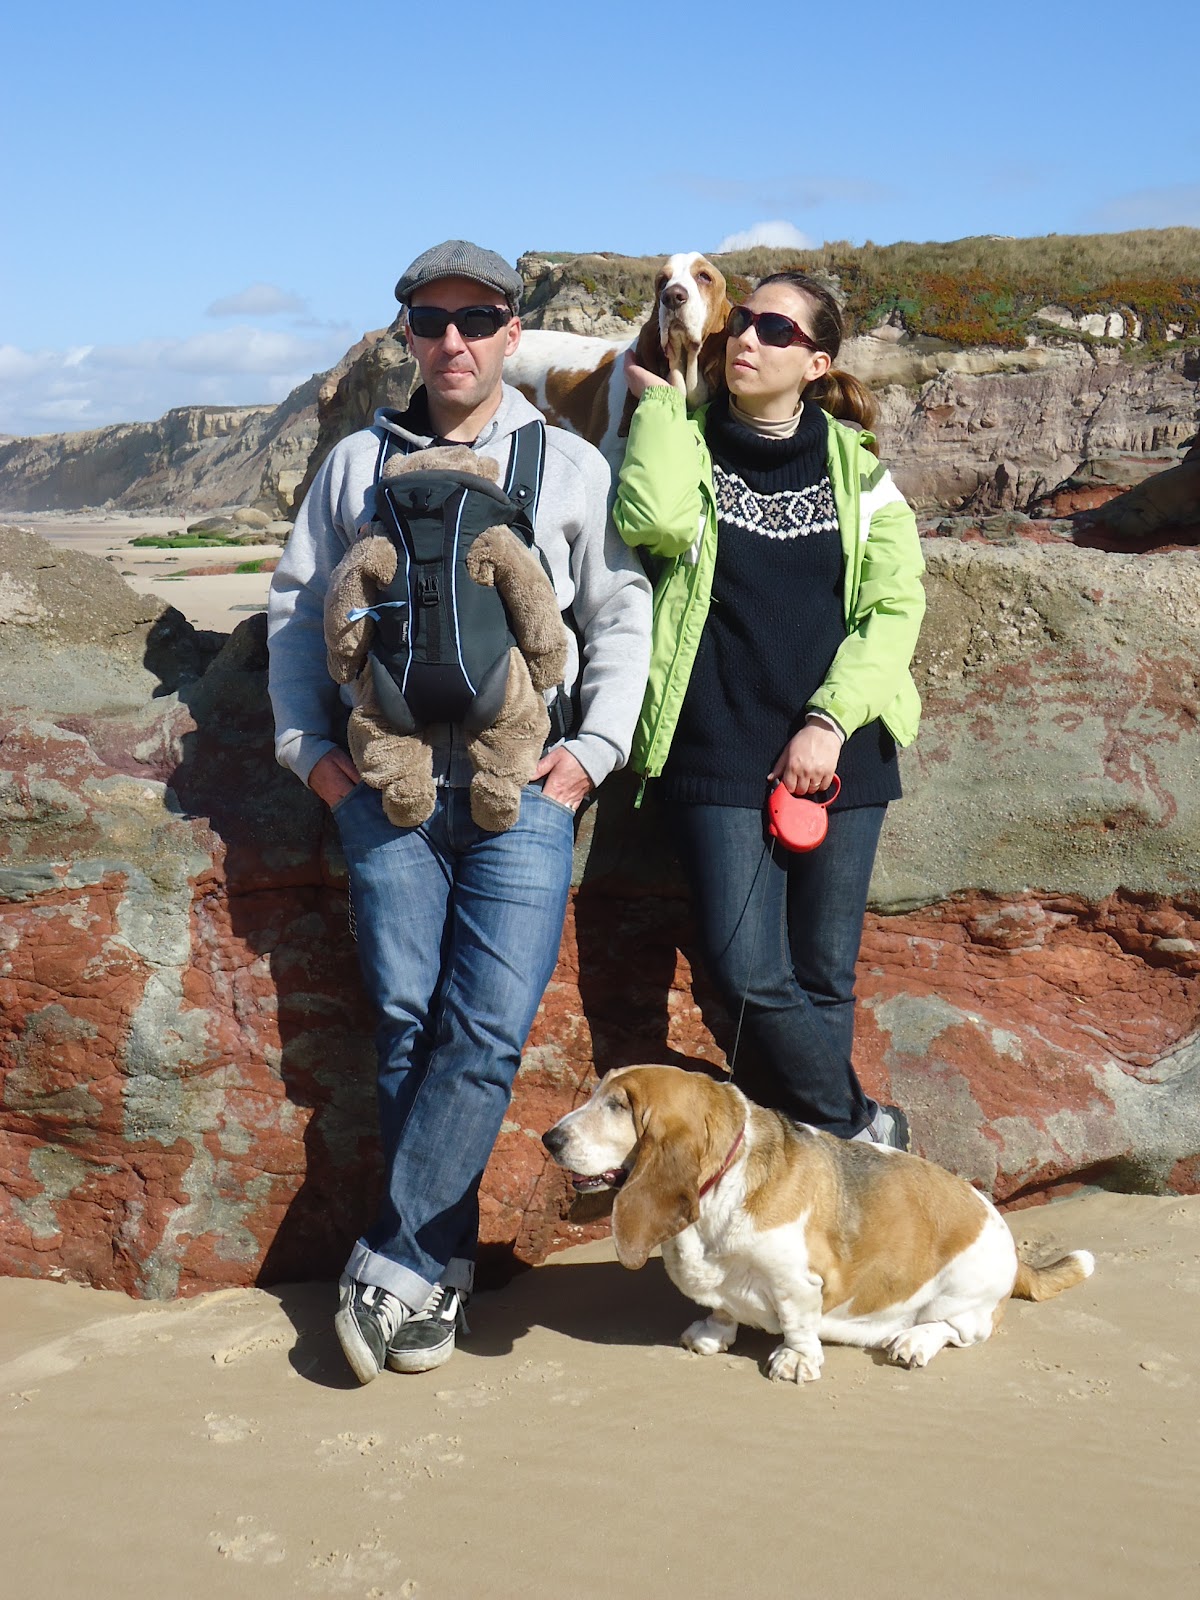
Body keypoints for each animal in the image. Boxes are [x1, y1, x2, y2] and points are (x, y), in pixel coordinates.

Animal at [543, 1065, 1095, 1383]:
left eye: (619, 1106)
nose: (549, 1139)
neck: (724, 1179)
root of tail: (1015, 1254)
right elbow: (721, 1308)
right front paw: (713, 1332)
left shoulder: (797, 1282)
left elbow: (796, 1321)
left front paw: (795, 1361)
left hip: (962, 1295)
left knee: (960, 1330)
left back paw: (913, 1341)